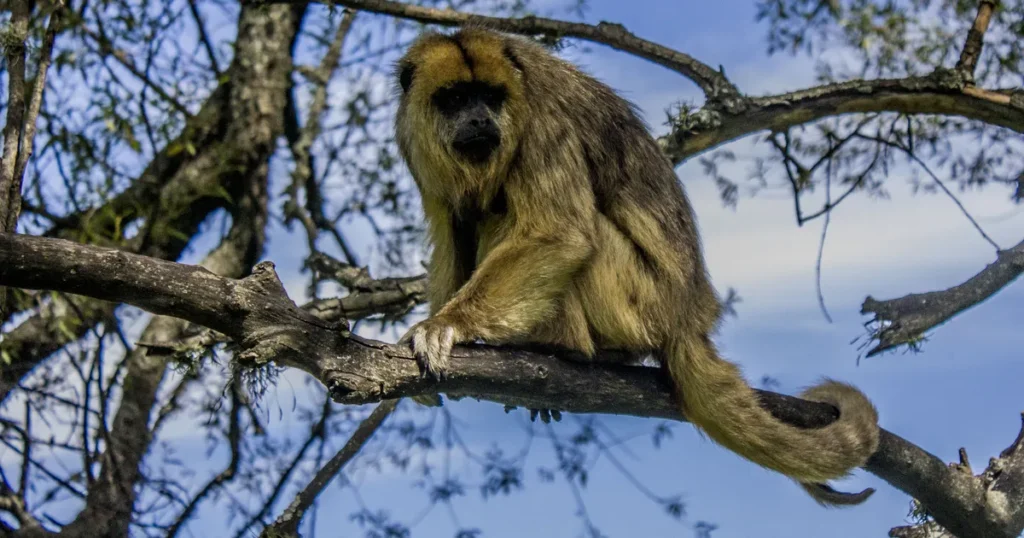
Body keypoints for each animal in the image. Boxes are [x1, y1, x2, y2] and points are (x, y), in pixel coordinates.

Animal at [393, 26, 880, 506]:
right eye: (457, 98)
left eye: (490, 97)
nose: (480, 120)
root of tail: (690, 318)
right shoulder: (414, 147)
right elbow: (450, 235)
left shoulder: (544, 123)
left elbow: (559, 233)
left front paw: (447, 324)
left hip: (638, 299)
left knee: (525, 219)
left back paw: (562, 347)